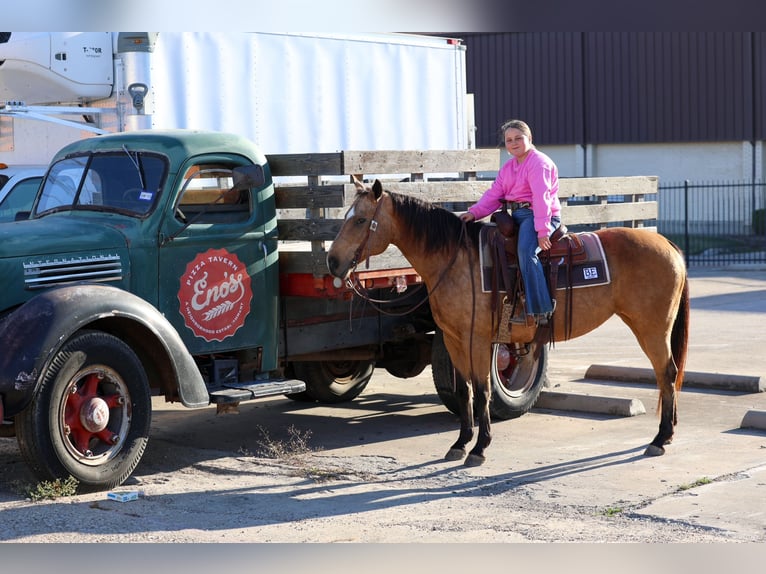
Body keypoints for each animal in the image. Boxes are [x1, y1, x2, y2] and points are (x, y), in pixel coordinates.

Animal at [327, 179, 689, 467]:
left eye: (361, 220)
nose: (332, 261)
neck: (455, 259)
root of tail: (668, 244)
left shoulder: (476, 340)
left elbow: (483, 390)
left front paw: (480, 448)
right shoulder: (453, 340)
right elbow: (465, 391)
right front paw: (460, 443)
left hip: (652, 328)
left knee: (666, 373)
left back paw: (660, 438)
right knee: (668, 375)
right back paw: (667, 434)